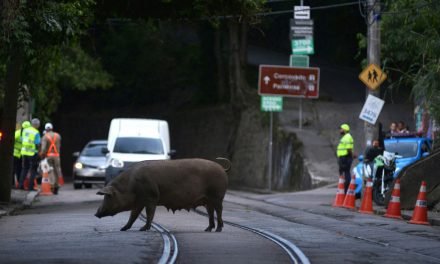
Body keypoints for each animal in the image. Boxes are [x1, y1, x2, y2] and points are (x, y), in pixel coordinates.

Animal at [94, 158, 229, 232]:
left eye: (108, 196)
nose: (96, 213)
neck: (130, 186)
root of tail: (222, 169)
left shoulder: (151, 197)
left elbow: (150, 214)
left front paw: (143, 229)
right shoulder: (139, 202)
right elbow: (133, 216)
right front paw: (123, 228)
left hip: (217, 195)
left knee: (219, 210)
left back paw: (218, 229)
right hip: (208, 200)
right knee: (211, 212)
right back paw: (208, 229)